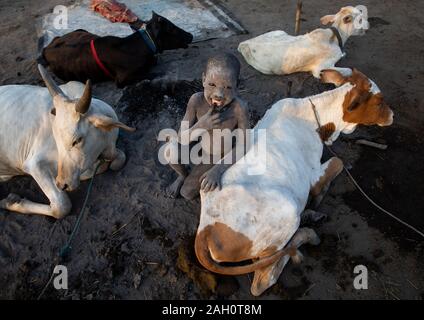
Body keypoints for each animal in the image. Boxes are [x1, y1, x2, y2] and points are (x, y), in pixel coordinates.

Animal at [0, 66, 134, 219]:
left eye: (77, 140)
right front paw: (11, 201)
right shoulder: (33, 164)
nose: (61, 184)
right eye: (56, 138)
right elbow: (62, 207)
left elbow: (117, 160)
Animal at [195, 69, 394, 296]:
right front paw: (319, 196)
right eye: (379, 101)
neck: (319, 122)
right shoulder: (313, 177)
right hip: (287, 215)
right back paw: (308, 232)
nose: (392, 115)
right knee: (263, 281)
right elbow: (338, 162)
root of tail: (205, 230)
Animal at [238, 5, 368, 77]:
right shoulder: (320, 67)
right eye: (360, 19)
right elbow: (348, 70)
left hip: (278, 31)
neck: (335, 38)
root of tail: (244, 43)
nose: (368, 25)